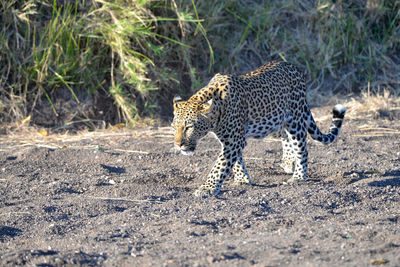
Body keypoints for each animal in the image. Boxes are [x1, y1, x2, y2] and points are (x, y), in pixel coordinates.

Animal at [172, 61, 346, 198]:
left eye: (189, 127)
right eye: (174, 127)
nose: (178, 145)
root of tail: (293, 66)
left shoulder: (233, 141)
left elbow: (220, 166)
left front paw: (207, 188)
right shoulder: (230, 141)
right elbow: (236, 162)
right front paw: (242, 180)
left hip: (295, 120)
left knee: (302, 149)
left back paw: (298, 176)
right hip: (277, 119)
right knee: (284, 135)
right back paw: (288, 162)